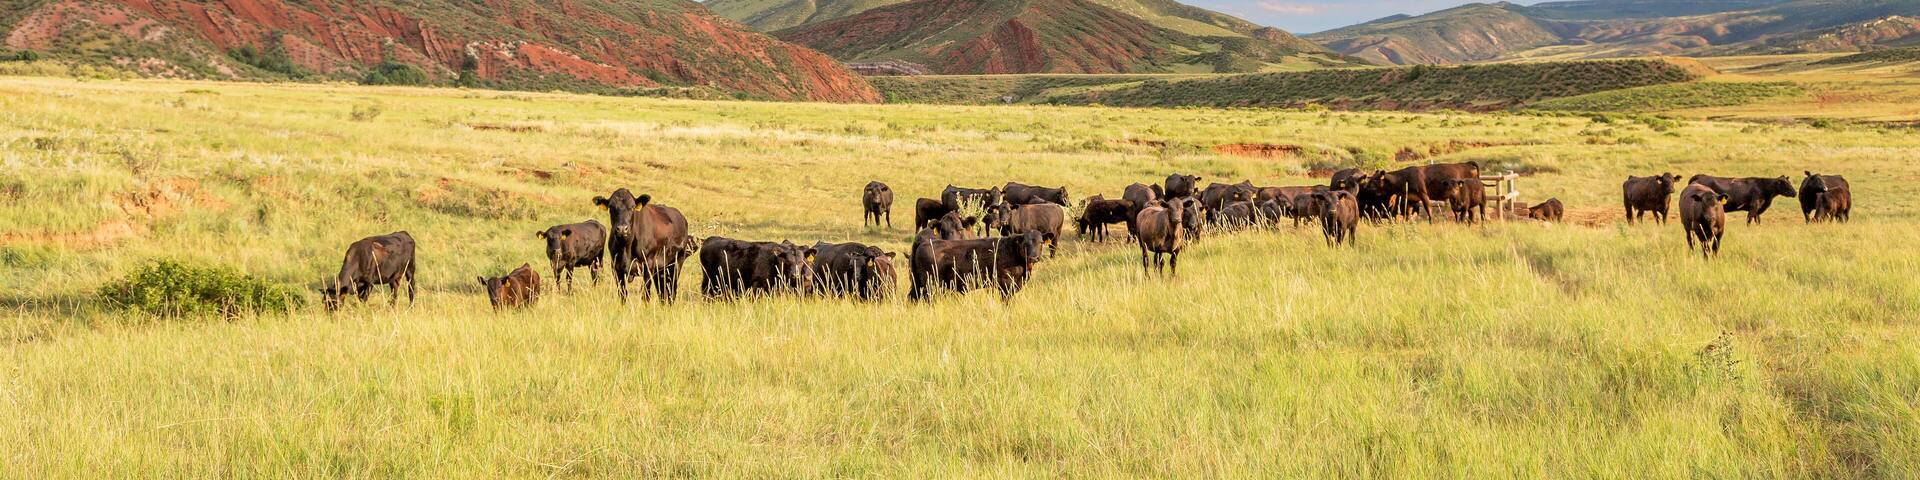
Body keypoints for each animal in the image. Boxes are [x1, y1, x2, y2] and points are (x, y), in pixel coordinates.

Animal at [908, 231, 1046, 301]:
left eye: (1041, 242)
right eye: (1026, 243)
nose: (1034, 257)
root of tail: (924, 242)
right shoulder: (1006, 285)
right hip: (930, 285)